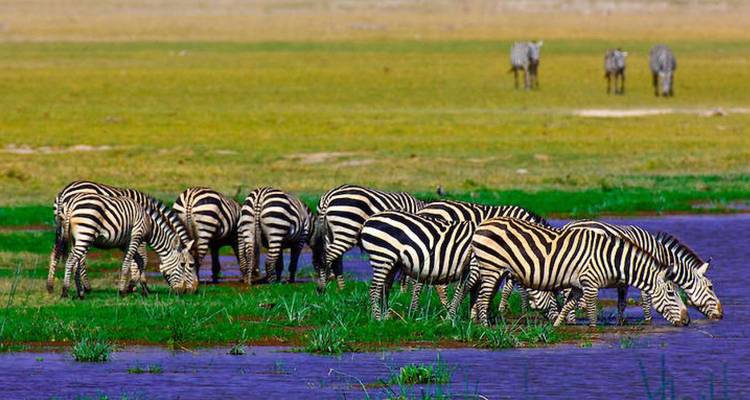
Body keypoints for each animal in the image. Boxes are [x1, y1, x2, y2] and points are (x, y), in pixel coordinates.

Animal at [48, 180, 192, 294]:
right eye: (186, 264)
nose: (186, 291)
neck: (149, 220)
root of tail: (64, 192)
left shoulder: (126, 241)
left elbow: (137, 260)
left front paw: (134, 286)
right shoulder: (137, 237)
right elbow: (139, 260)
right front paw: (137, 287)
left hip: (63, 230)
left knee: (56, 253)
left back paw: (51, 286)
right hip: (84, 232)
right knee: (78, 258)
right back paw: (81, 288)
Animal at [472, 217, 689, 327]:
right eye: (671, 293)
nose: (687, 321)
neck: (609, 258)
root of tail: (483, 224)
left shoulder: (578, 285)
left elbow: (567, 306)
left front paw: (557, 325)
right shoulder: (590, 283)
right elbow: (592, 311)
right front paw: (592, 331)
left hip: (495, 270)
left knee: (481, 296)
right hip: (491, 267)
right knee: (483, 299)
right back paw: (485, 326)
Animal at [563, 220, 723, 323]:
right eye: (711, 287)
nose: (721, 315)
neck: (658, 254)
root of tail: (569, 225)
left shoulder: (624, 279)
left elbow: (622, 303)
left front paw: (621, 323)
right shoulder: (647, 274)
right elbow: (646, 300)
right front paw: (648, 321)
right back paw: (571, 321)